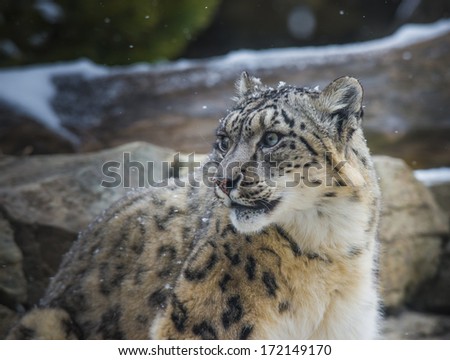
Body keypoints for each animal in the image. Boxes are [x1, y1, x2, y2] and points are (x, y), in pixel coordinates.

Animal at [7, 72, 380, 338]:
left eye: (272, 138)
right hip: (48, 319)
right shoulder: (204, 324)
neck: (328, 245)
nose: (224, 181)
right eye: (224, 140)